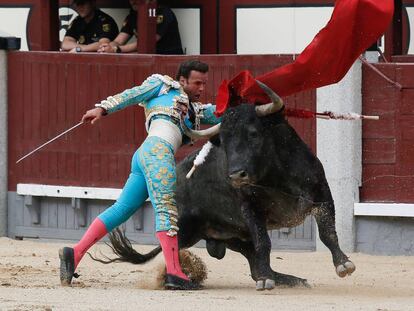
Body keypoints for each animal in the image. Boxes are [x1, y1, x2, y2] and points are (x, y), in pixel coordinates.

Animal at [106, 103, 356, 292]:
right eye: (224, 142)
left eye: (254, 133)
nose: (236, 175)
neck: (276, 176)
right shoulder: (250, 208)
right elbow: (264, 242)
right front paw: (266, 280)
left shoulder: (322, 195)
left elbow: (327, 234)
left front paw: (344, 264)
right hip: (188, 229)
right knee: (174, 246)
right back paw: (179, 280)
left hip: (233, 235)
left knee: (253, 261)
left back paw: (291, 280)